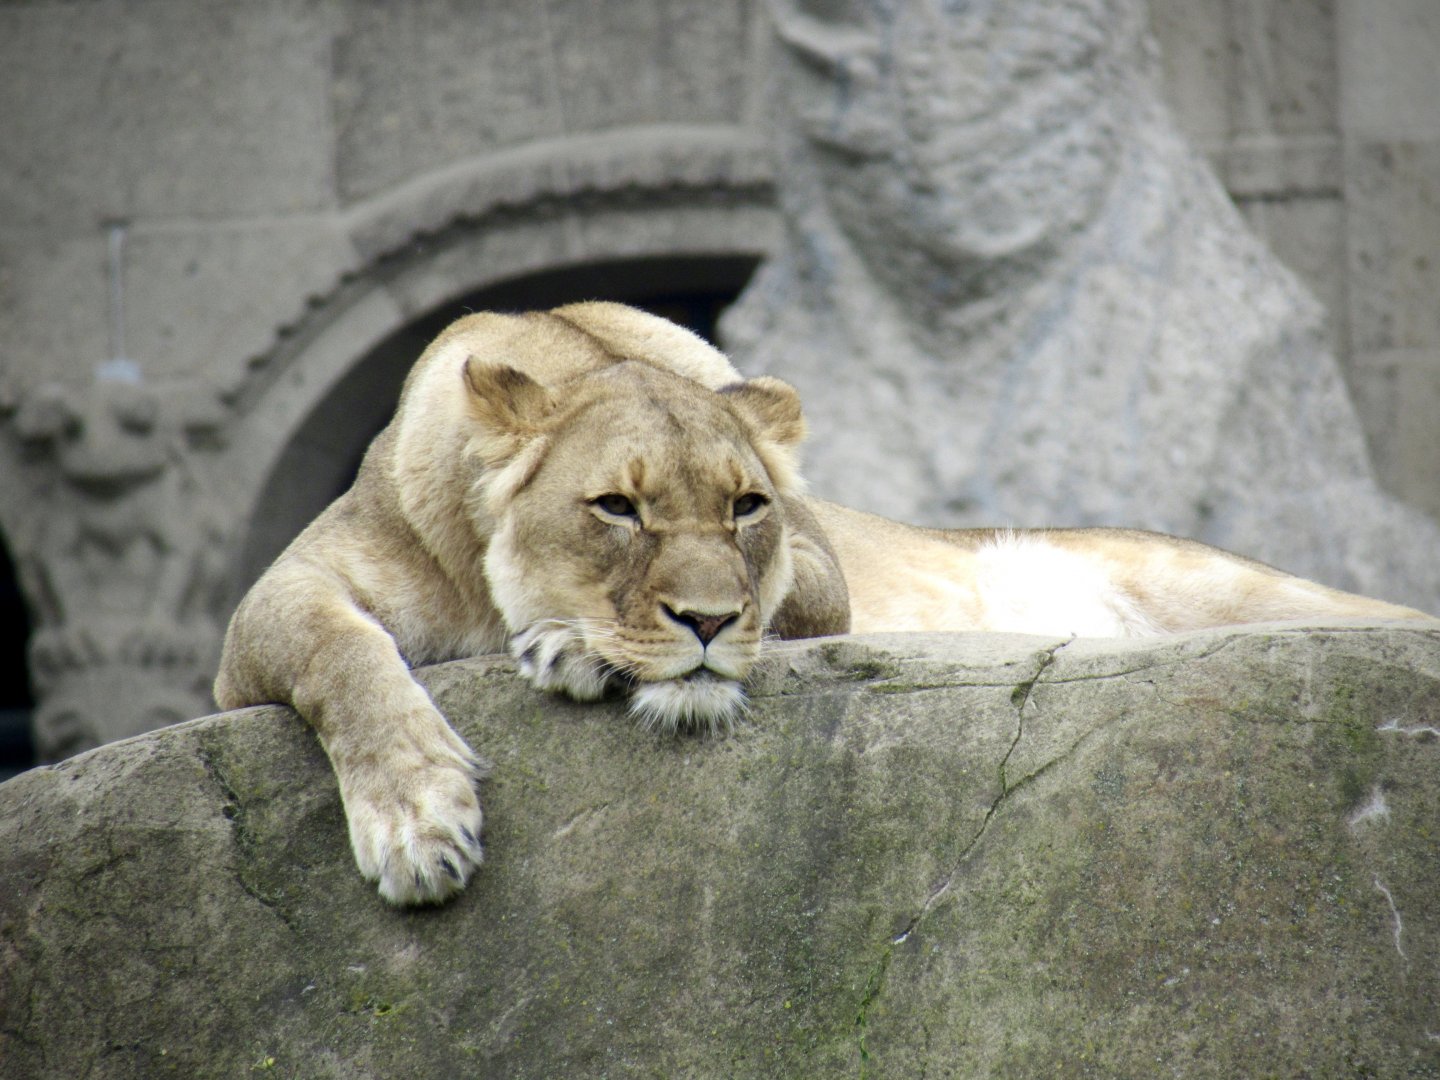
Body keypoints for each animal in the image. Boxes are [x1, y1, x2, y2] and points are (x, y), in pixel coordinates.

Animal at [214, 302, 1429, 906]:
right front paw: (419, 823)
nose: (706, 626)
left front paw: (572, 644)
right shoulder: (266, 613)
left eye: (745, 505)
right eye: (617, 507)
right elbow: (341, 656)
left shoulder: (821, 561)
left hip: (1229, 585)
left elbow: (790, 586)